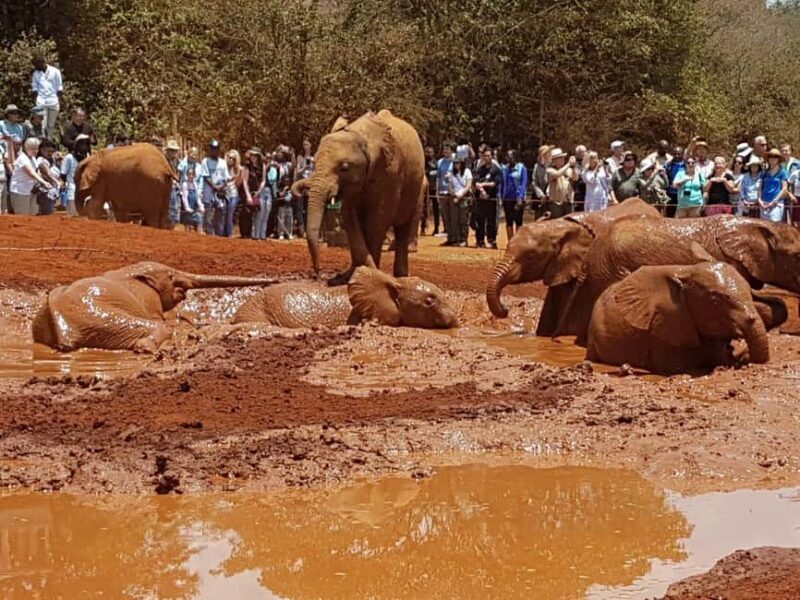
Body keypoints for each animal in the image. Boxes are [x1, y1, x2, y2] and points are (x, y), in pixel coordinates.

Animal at [33, 262, 276, 352]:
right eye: (170, 276)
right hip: (98, 317)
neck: (128, 270)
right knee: (158, 328)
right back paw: (148, 348)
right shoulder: (148, 301)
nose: (274, 280)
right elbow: (162, 320)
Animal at [292, 110, 426, 286]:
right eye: (315, 162)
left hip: (416, 185)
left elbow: (377, 220)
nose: (318, 272)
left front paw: (371, 275)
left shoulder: (390, 173)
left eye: (344, 167)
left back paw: (401, 276)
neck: (361, 135)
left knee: (403, 226)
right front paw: (351, 275)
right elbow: (350, 216)